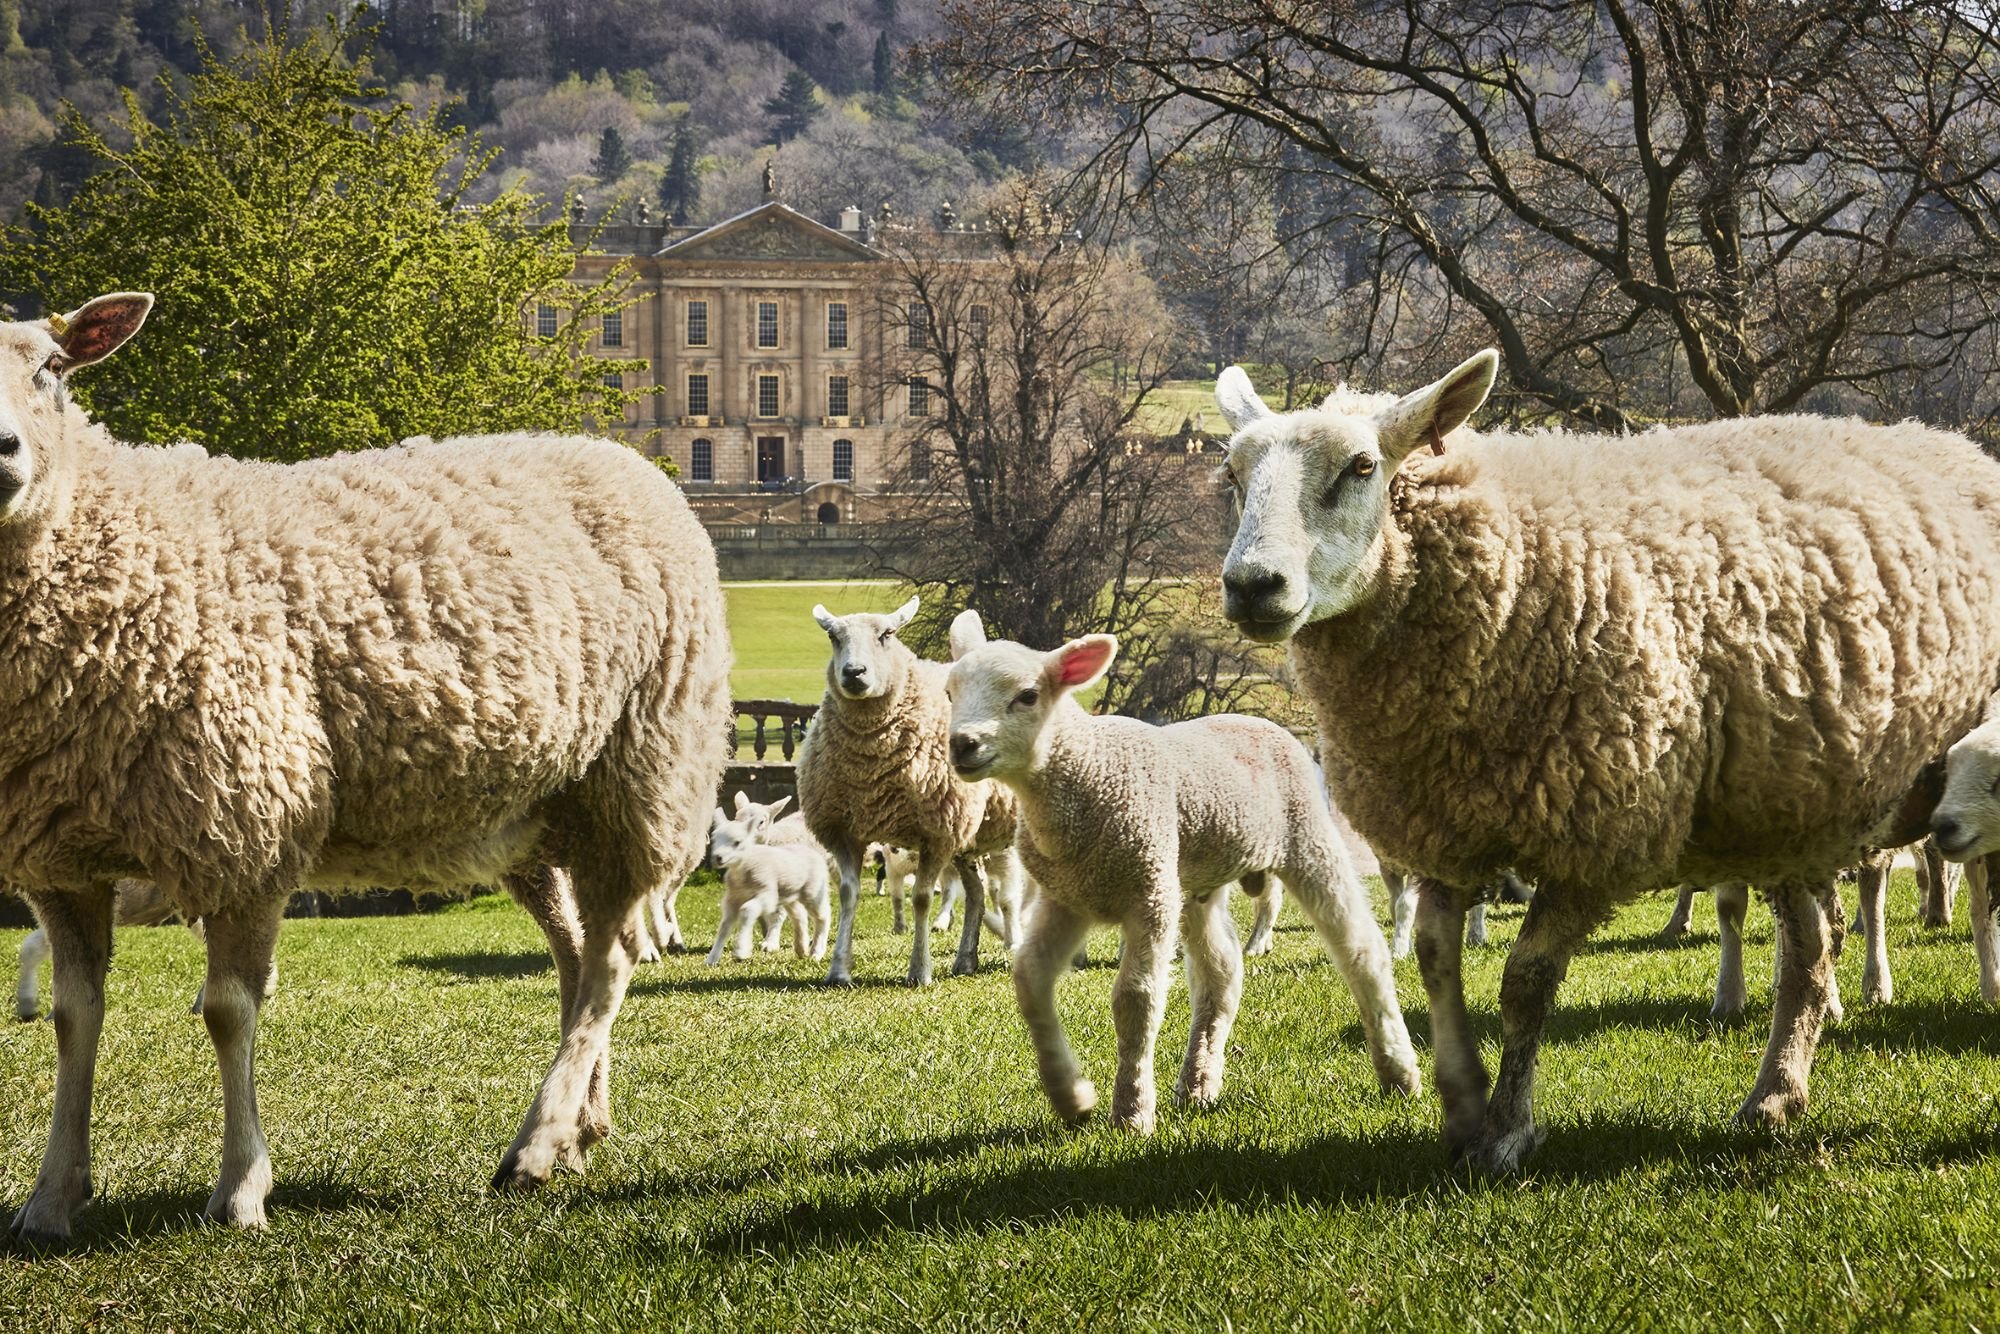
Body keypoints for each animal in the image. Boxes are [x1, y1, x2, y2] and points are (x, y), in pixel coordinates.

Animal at [0, 294, 732, 1240]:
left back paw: (533, 1149)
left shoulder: (247, 826)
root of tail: (620, 455)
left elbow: (228, 1012)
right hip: (536, 810)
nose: (0, 452)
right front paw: (52, 1197)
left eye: (51, 367)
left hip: (641, 770)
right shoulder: (61, 858)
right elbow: (72, 1018)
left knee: (610, 963)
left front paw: (241, 1189)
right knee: (576, 955)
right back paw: (578, 1129)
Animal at [704, 800, 828, 964]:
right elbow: (725, 926)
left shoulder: (768, 894)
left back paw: (817, 951)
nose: (717, 857)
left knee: (824, 916)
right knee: (799, 914)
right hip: (789, 893)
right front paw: (712, 959)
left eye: (737, 842)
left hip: (813, 891)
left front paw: (743, 949)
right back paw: (801, 948)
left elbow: (750, 910)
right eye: (714, 840)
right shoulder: (732, 899)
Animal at [792, 600, 1016, 988]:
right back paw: (965, 960)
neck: (869, 769)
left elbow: (922, 898)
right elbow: (849, 895)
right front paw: (838, 970)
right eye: (833, 637)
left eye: (887, 635)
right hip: (968, 836)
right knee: (976, 893)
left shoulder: (936, 832)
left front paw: (920, 970)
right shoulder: (845, 831)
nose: (854, 672)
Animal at [940, 620, 1424, 1136]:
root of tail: (1260, 721)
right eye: (950, 692)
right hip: (1194, 881)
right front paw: (1071, 1097)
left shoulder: (1148, 890)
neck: (1086, 771)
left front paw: (1131, 1112)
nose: (962, 744)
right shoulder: (1067, 898)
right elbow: (1029, 982)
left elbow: (1135, 1000)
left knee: (1360, 949)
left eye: (1027, 696)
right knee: (1221, 973)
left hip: (1305, 837)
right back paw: (1199, 1083)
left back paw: (1399, 1073)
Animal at [1208, 352, 2000, 1168]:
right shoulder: (1448, 824)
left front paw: (1506, 1132)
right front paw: (1461, 1109)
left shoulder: (1594, 835)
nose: (1252, 586)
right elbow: (1433, 962)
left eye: (1362, 466)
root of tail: (1954, 444)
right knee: (1811, 950)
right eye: (1231, 475)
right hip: (1784, 801)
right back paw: (1775, 1098)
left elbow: (1525, 983)